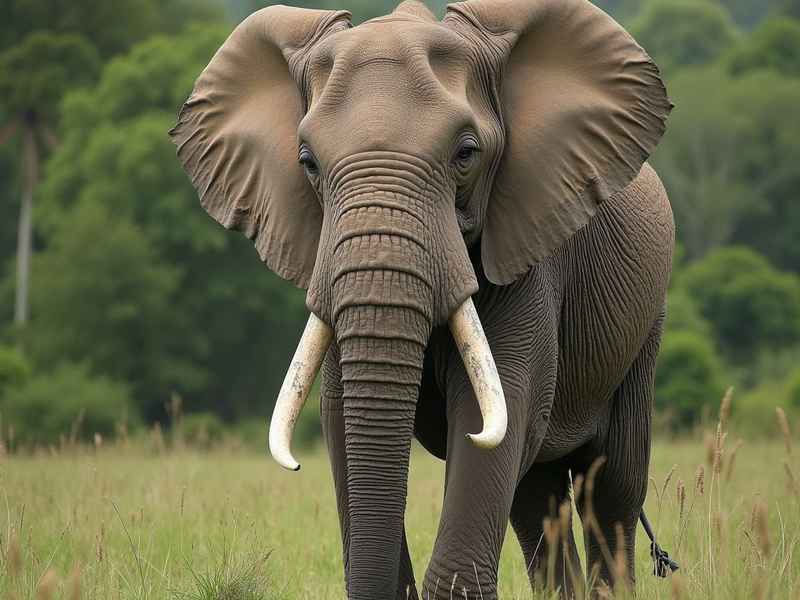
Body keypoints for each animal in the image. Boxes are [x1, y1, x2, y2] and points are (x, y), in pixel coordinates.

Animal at [170, 0, 675, 598]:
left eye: (466, 154)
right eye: (307, 162)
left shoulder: (526, 257)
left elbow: (496, 411)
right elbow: (341, 418)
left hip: (646, 326)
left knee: (611, 489)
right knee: (536, 497)